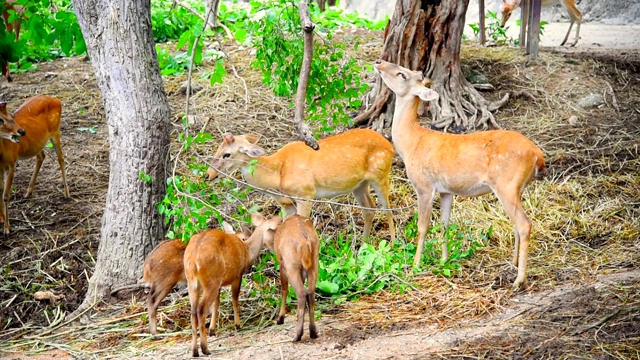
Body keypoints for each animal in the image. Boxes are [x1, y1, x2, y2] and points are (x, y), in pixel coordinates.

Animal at [0, 95, 69, 235]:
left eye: (10, 116)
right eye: (0, 119)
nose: (21, 131)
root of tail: (56, 100)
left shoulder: (11, 164)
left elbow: (5, 196)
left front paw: (7, 228)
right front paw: (2, 219)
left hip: (55, 130)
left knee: (61, 157)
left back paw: (66, 193)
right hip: (38, 143)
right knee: (41, 156)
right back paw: (28, 192)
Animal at [184, 214, 282, 358]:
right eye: (273, 233)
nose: (276, 248)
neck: (247, 251)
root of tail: (193, 260)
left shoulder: (220, 283)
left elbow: (217, 303)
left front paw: (213, 330)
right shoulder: (237, 275)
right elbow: (235, 299)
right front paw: (238, 325)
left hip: (193, 283)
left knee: (193, 312)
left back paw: (195, 351)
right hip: (211, 280)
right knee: (201, 309)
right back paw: (205, 349)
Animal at [205, 127, 396, 242]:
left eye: (227, 154)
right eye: (217, 149)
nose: (208, 175)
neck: (277, 174)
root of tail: (389, 144)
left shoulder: (305, 194)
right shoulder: (286, 203)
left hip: (381, 173)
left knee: (387, 209)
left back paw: (393, 245)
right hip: (359, 185)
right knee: (369, 208)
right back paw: (363, 244)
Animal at [376, 59, 544, 290]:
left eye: (403, 74)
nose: (379, 62)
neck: (411, 144)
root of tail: (537, 154)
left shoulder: (424, 185)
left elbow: (422, 226)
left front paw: (415, 265)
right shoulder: (446, 190)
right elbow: (445, 223)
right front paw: (444, 260)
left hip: (506, 184)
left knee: (524, 224)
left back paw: (519, 279)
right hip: (517, 187)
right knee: (518, 224)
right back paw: (513, 262)